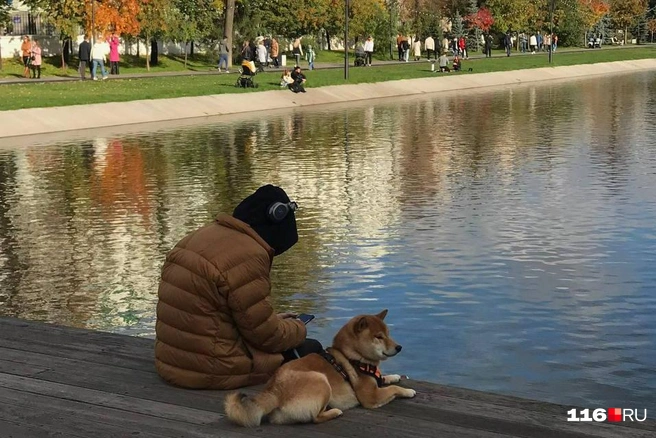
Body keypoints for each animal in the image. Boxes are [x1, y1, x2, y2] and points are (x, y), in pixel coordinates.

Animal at [223, 310, 412, 426]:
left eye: (388, 334)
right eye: (379, 337)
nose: (399, 347)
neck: (353, 356)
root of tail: (274, 391)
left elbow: (385, 378)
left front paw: (394, 376)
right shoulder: (371, 397)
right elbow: (393, 389)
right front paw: (408, 391)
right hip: (320, 380)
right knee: (315, 418)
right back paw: (334, 411)